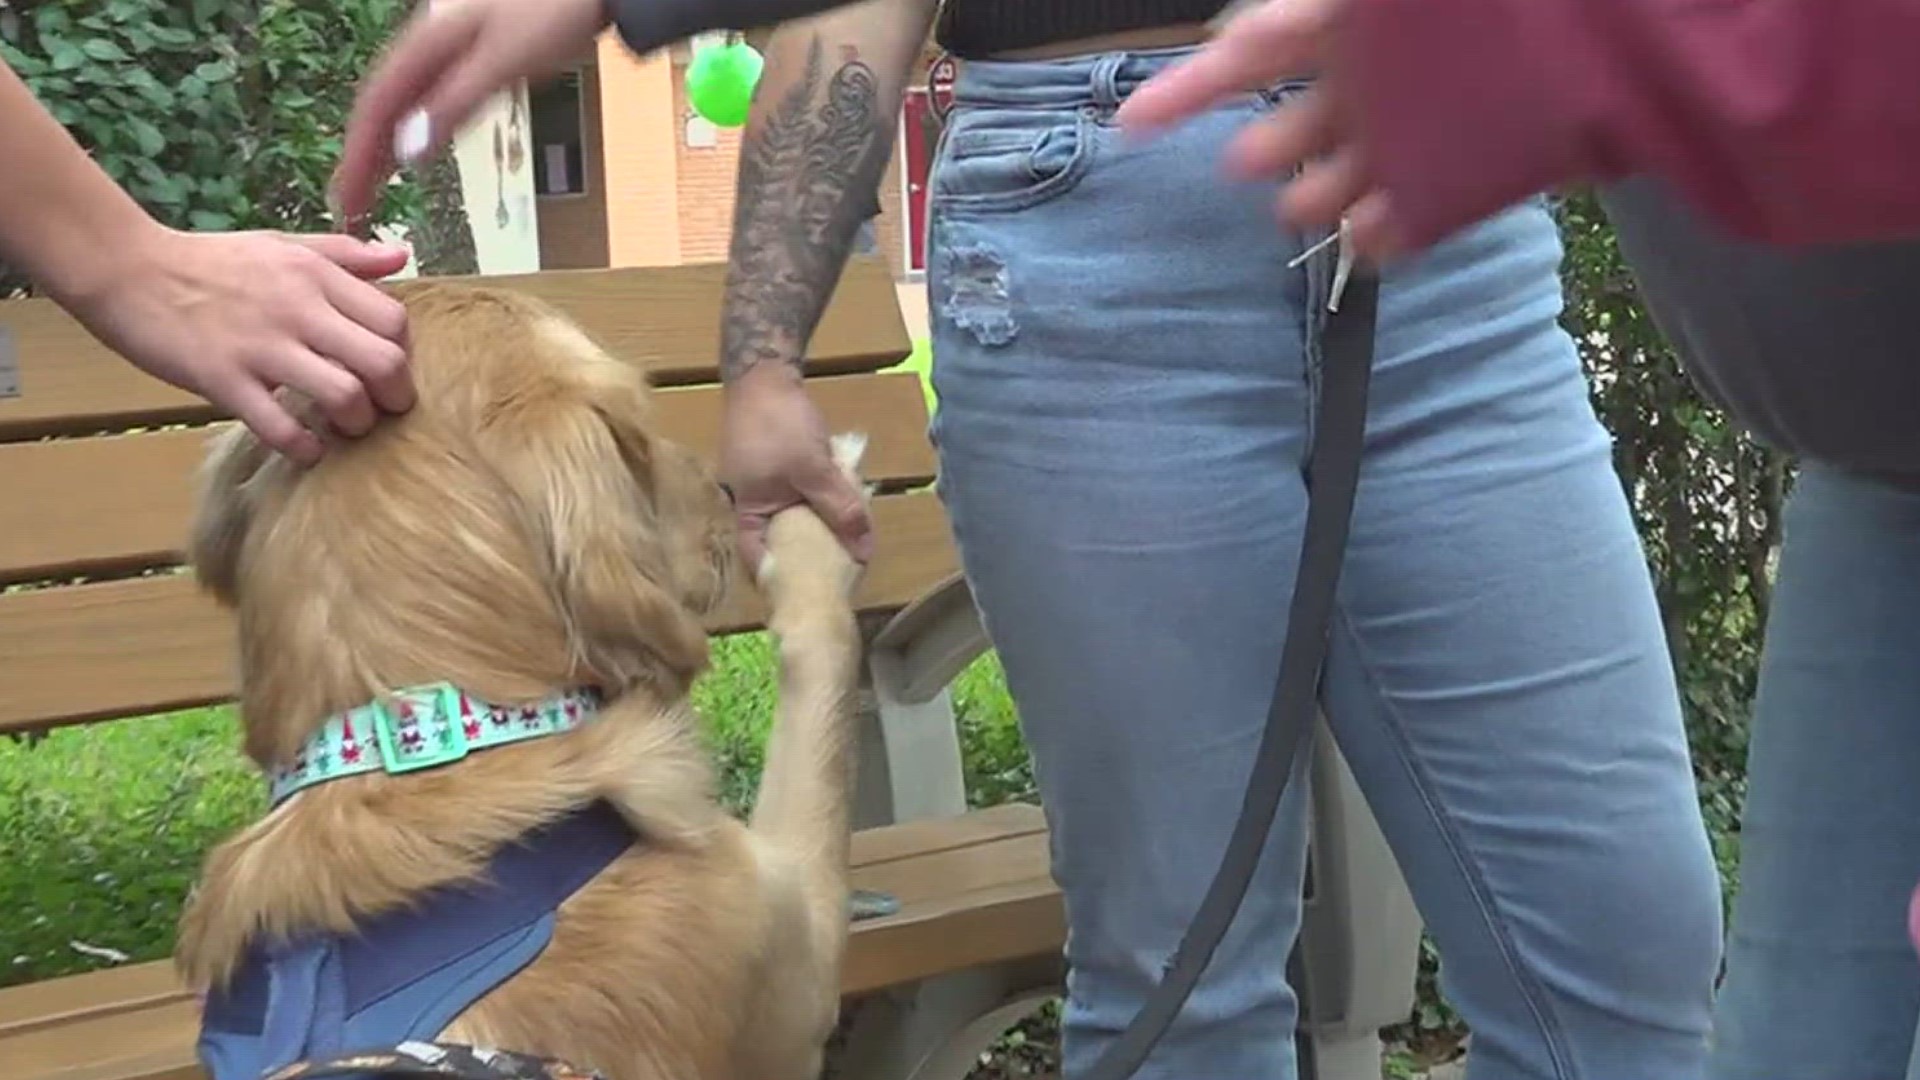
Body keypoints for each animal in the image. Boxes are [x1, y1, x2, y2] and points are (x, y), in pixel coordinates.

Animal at [180, 282, 871, 1076]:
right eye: (633, 432)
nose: (728, 488)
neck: (414, 736)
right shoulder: (792, 960)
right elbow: (819, 644)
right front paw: (815, 508)